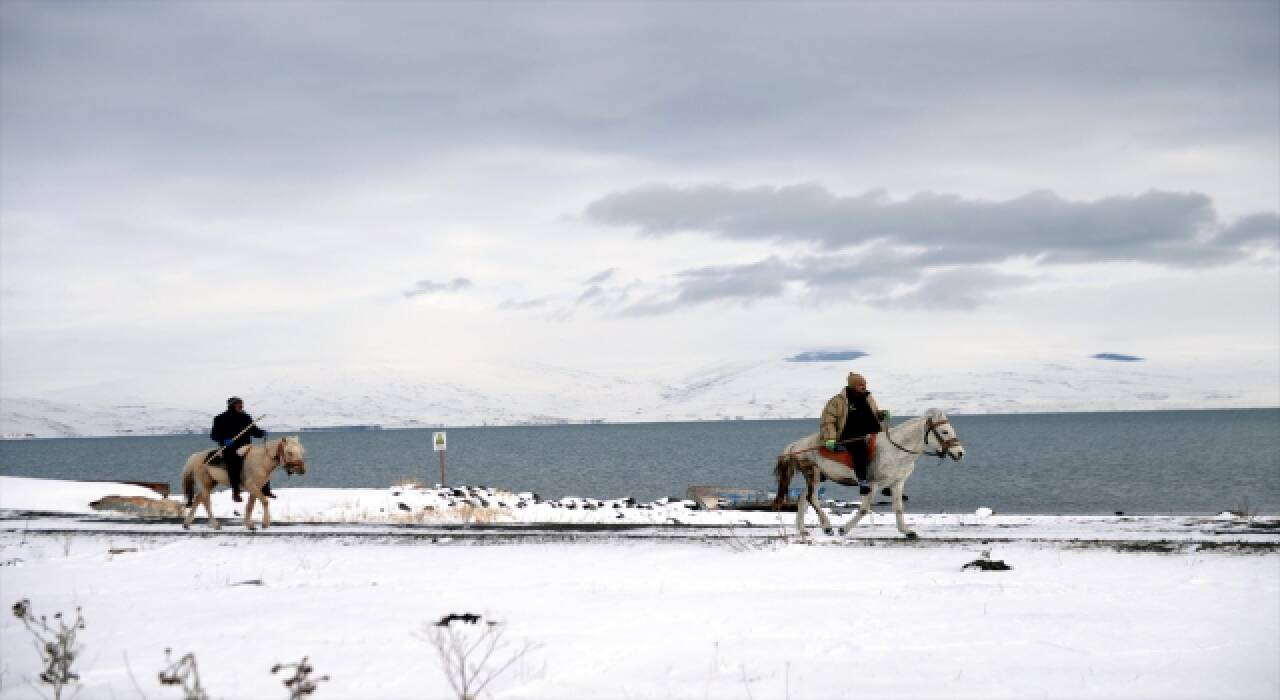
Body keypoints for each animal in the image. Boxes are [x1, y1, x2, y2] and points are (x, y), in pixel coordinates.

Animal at [773, 412, 962, 542]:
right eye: (944, 431)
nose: (960, 453)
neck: (896, 450)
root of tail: (796, 445)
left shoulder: (897, 483)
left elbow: (898, 508)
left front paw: (908, 531)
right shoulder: (873, 485)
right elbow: (864, 509)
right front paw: (844, 529)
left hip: (819, 477)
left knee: (803, 498)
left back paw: (803, 530)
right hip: (814, 474)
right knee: (812, 498)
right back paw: (827, 527)